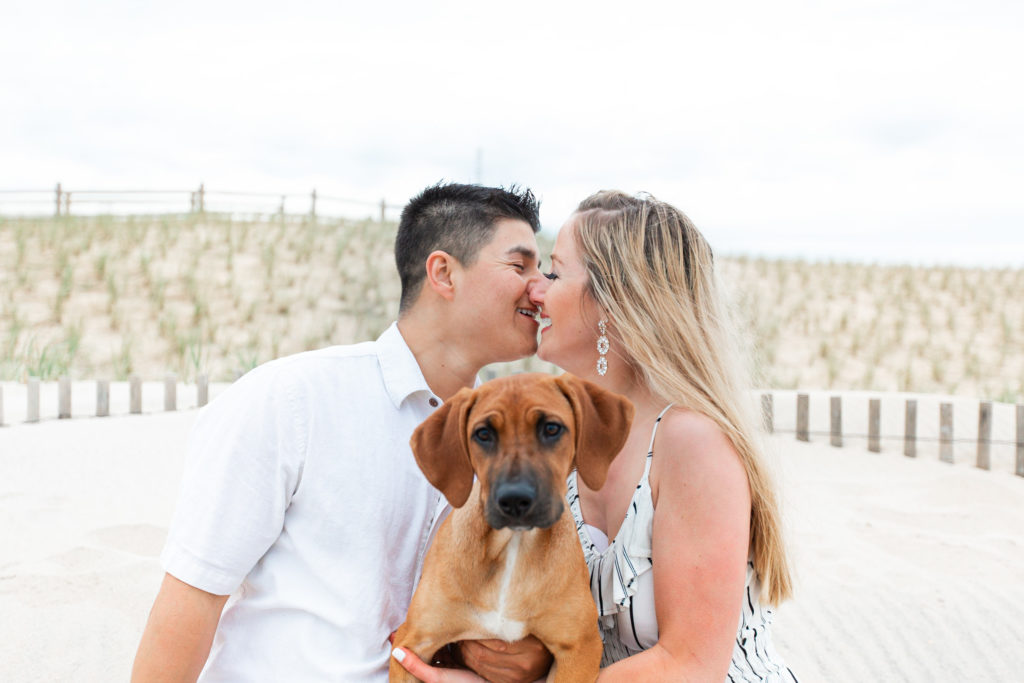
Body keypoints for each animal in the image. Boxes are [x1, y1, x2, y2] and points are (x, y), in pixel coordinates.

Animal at [389, 374, 630, 683]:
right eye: (483, 434)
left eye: (551, 428)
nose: (515, 500)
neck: (514, 545)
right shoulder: (411, 642)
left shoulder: (580, 649)